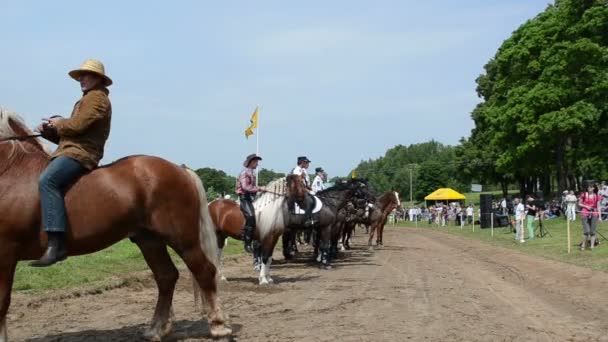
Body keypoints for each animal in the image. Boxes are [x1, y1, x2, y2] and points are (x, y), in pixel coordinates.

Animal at [0, 111, 230, 340]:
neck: (12, 170)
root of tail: (180, 169)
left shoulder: (6, 252)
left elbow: (2, 302)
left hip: (183, 239)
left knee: (204, 271)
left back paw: (218, 326)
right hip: (149, 240)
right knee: (166, 277)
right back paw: (156, 329)